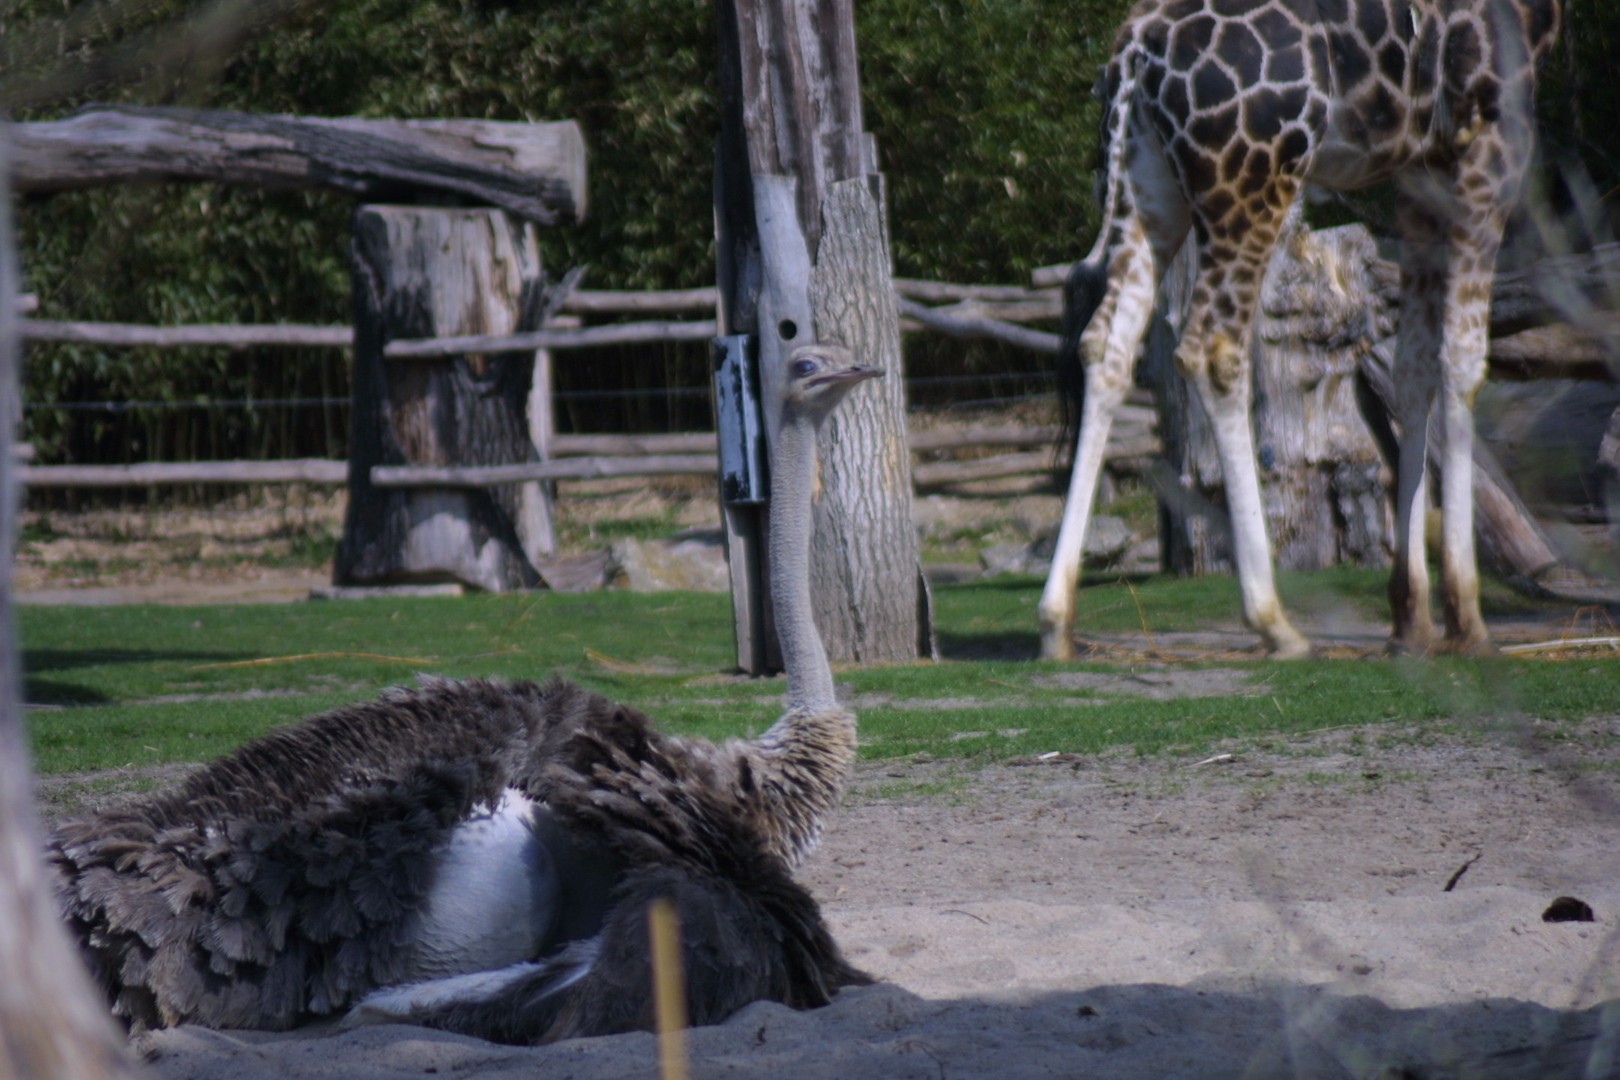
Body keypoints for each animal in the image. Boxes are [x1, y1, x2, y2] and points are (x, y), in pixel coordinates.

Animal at [1043, 0, 1561, 660]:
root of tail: (1136, 47)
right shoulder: (1490, 130)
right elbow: (1462, 359)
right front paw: (1467, 621)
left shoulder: (1420, 160)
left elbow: (1413, 366)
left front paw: (1411, 621)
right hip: (1253, 181)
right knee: (1213, 346)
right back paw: (1274, 622)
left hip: (1147, 179)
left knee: (1106, 341)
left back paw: (1056, 621)